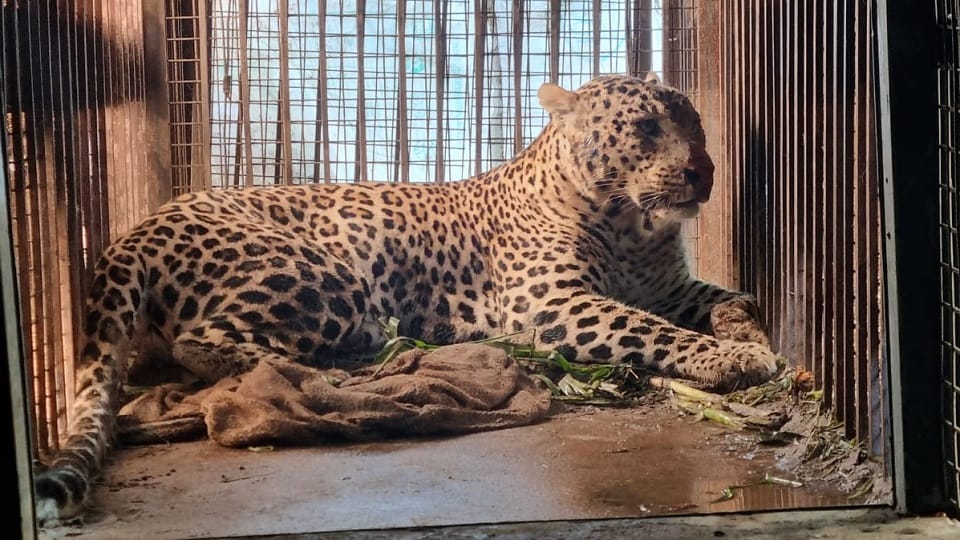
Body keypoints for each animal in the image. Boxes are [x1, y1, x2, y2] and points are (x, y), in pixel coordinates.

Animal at [33, 74, 779, 524]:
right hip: (326, 278)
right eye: (646, 127)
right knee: (208, 346)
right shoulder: (554, 304)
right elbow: (650, 330)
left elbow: (732, 299)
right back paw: (355, 364)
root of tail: (138, 229)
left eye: (694, 123)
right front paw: (733, 362)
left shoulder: (671, 286)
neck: (631, 224)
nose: (704, 171)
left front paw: (749, 339)